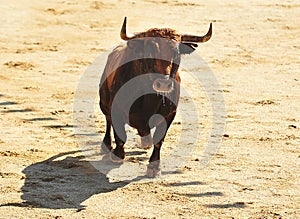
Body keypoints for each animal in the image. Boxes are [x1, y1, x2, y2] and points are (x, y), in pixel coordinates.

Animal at [99, 17, 211, 178]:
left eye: (177, 53)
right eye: (150, 50)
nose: (163, 84)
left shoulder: (170, 114)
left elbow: (159, 139)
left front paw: (154, 166)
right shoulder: (117, 108)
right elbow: (120, 134)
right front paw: (117, 155)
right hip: (104, 102)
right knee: (108, 121)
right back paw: (106, 145)